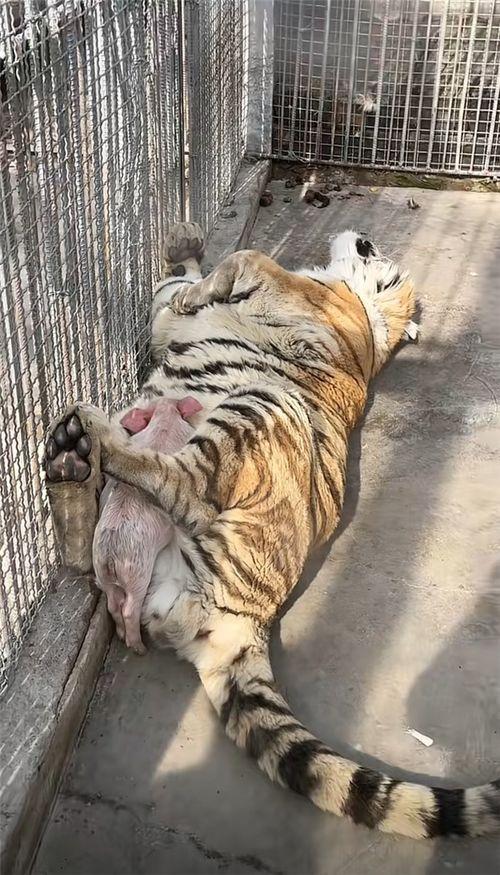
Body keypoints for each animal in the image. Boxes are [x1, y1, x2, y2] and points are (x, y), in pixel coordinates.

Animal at [44, 222, 499, 840]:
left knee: (177, 482)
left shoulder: (285, 290)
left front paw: (197, 274)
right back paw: (69, 463)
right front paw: (185, 248)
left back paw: (92, 432)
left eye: (382, 257)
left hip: (257, 409)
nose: (364, 236)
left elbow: (246, 258)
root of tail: (246, 621)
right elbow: (177, 287)